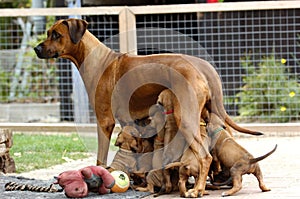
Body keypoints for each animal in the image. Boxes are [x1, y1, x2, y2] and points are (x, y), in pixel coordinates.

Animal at [34, 18, 262, 196]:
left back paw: (197, 189)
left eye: (56, 35)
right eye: (48, 33)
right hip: (209, 114)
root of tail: (203, 67)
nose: (36, 48)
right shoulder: (134, 122)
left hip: (186, 119)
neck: (97, 60)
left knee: (205, 156)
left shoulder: (105, 121)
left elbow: (100, 158)